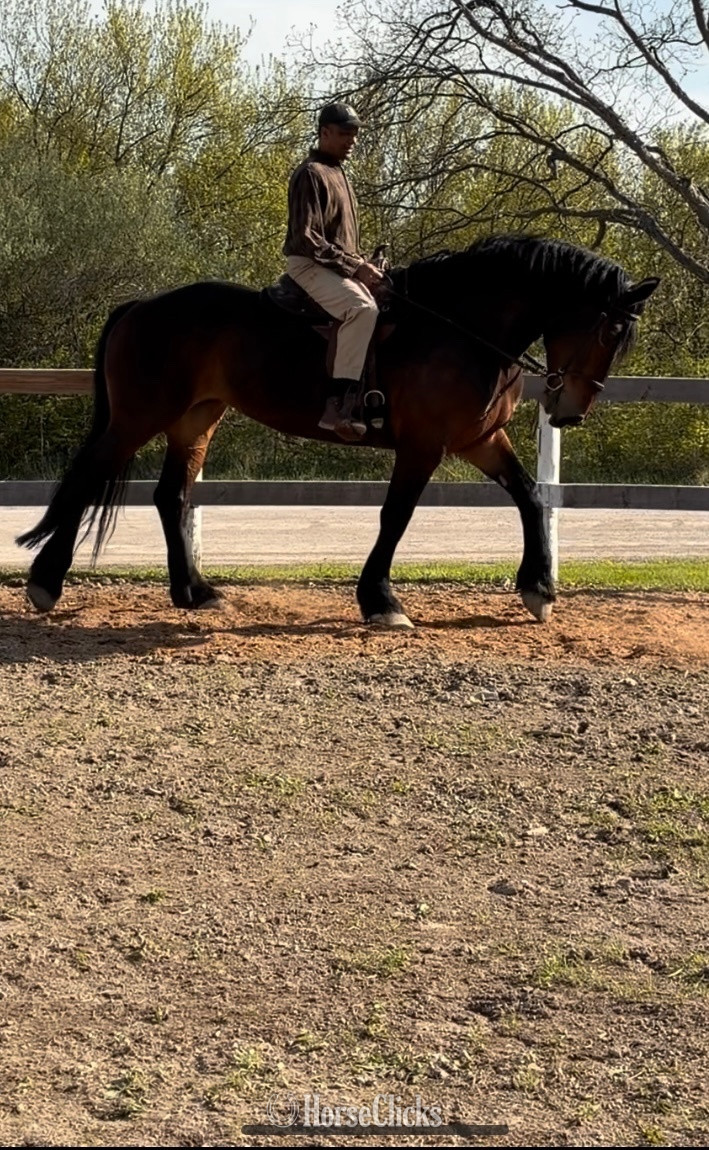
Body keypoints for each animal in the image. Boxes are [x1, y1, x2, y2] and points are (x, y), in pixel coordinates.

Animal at [17, 233, 658, 627]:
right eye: (610, 329)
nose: (570, 411)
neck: (461, 329)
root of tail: (144, 306)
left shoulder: (479, 440)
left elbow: (529, 496)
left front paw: (539, 590)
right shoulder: (424, 445)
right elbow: (395, 517)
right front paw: (381, 600)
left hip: (195, 419)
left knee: (170, 496)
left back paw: (194, 592)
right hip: (138, 417)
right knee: (87, 480)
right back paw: (47, 583)